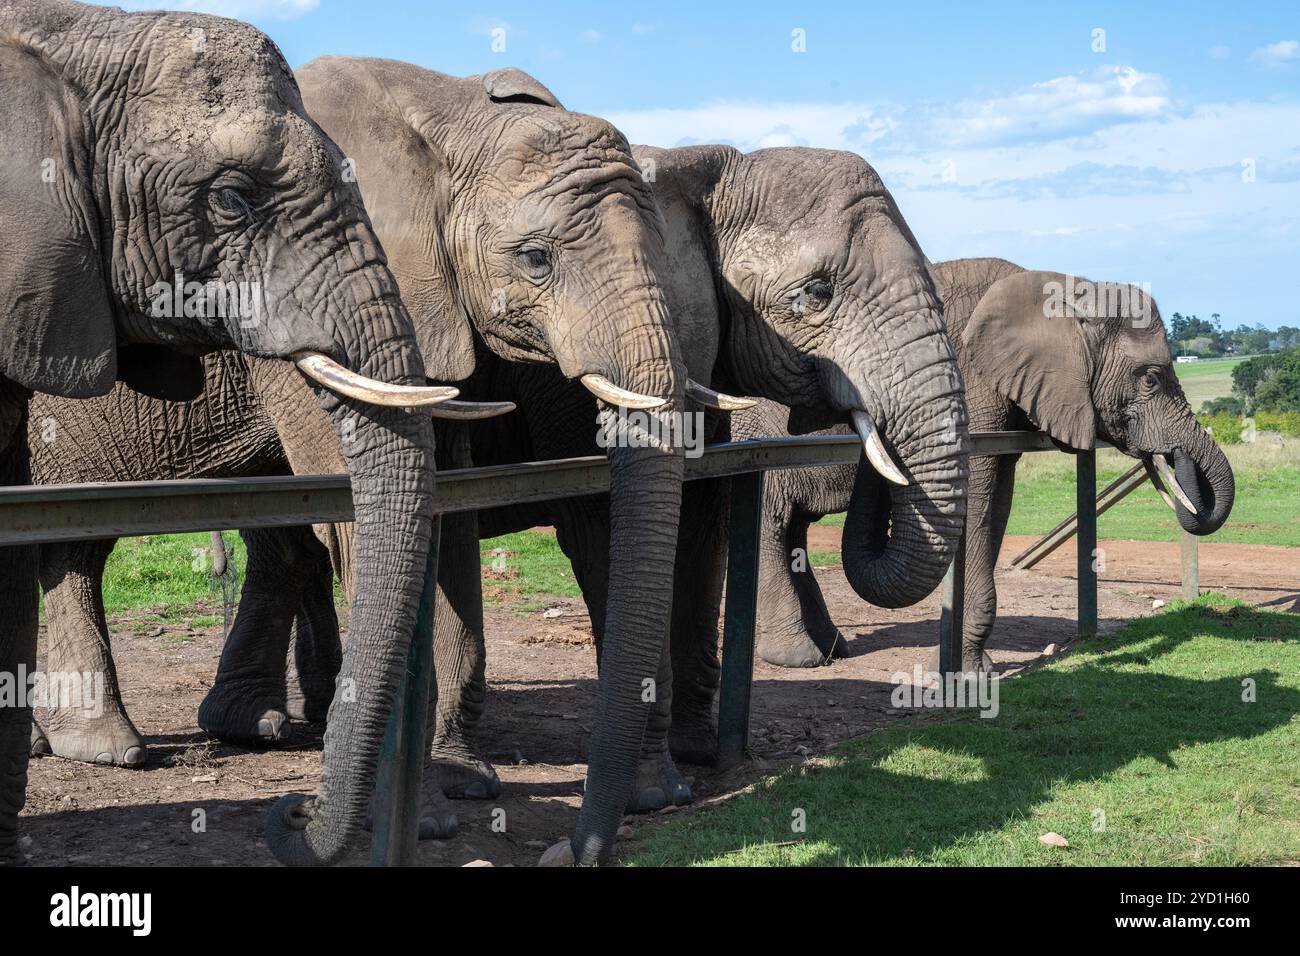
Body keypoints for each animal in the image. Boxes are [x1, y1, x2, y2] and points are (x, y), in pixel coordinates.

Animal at [748, 257, 1232, 671]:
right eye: (1150, 378)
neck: (1066, 290)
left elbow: (997, 501)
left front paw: (972, 666)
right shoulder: (972, 379)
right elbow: (978, 501)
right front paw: (963, 672)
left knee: (792, 531)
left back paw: (833, 649)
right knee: (770, 525)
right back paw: (799, 658)